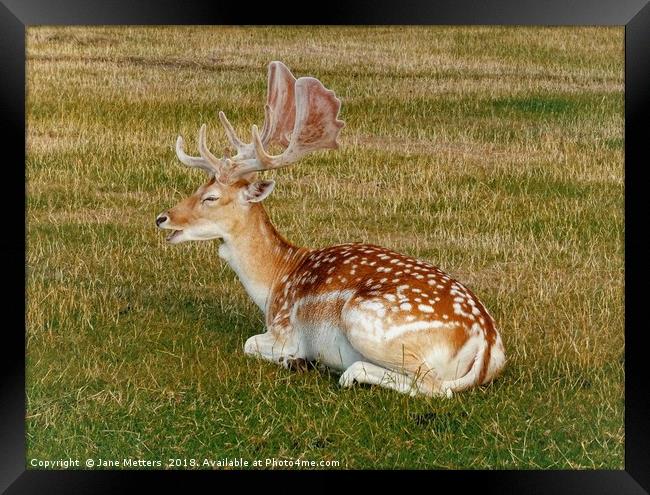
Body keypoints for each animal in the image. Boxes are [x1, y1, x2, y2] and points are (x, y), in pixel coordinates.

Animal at [154, 61, 504, 400]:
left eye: (211, 197)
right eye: (198, 188)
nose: (162, 218)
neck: (275, 282)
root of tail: (485, 344)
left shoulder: (286, 330)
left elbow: (249, 343)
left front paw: (294, 359)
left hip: (366, 321)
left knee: (432, 385)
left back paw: (344, 372)